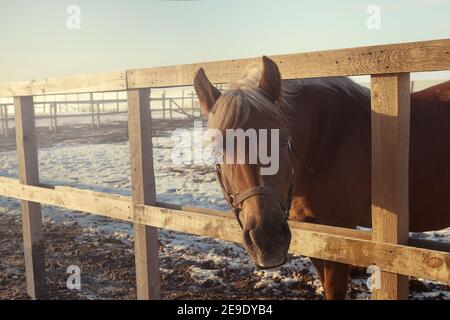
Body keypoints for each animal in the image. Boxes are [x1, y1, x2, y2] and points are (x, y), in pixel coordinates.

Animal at [193, 57, 450, 300]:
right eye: (217, 149)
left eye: (283, 140)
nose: (268, 241)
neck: (326, 140)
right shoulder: (315, 230)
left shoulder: (339, 231)